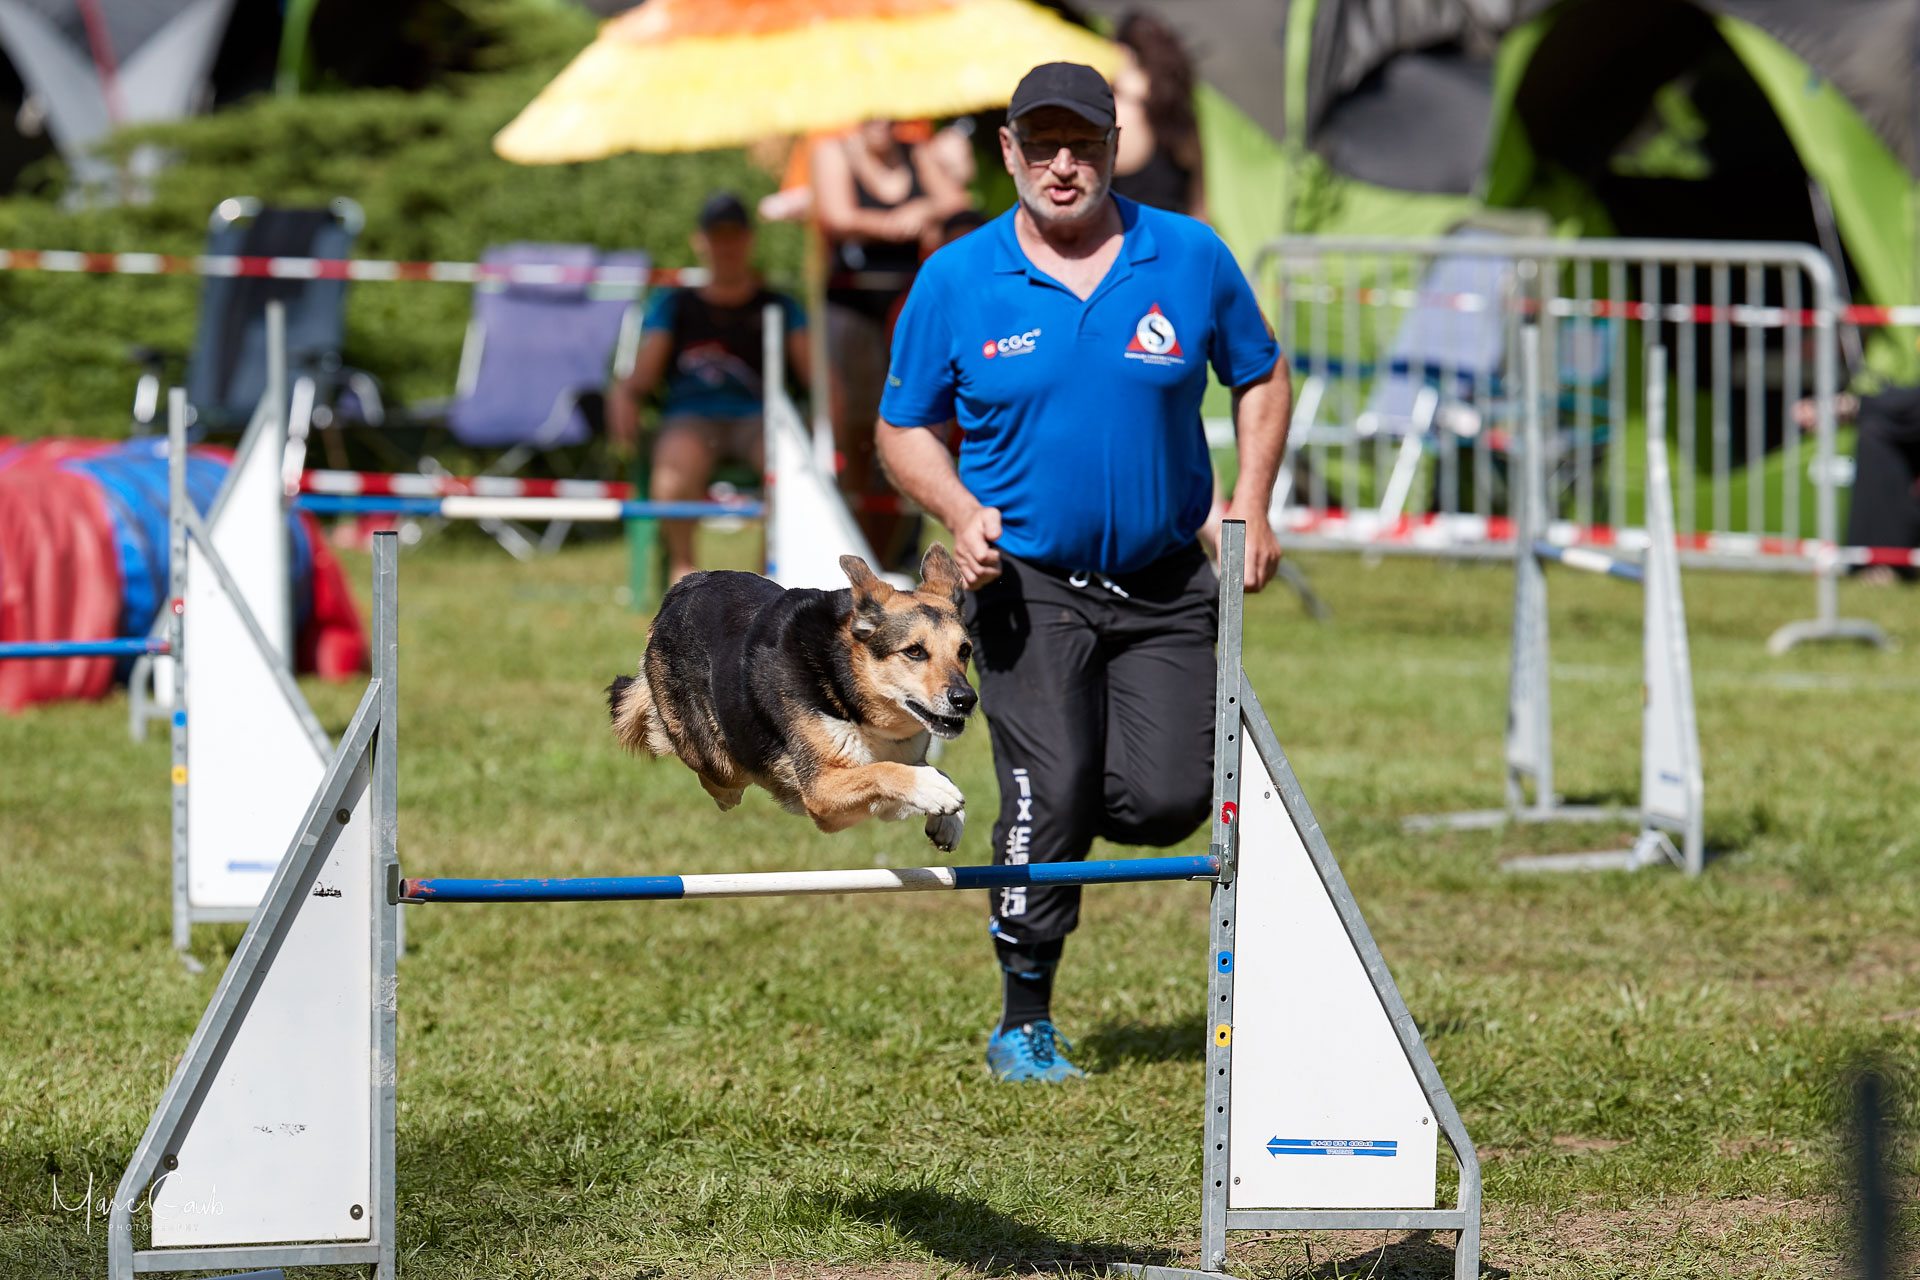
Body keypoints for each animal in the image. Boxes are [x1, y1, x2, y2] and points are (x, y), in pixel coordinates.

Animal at [607, 544, 977, 851]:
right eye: (914, 651)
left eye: (965, 651)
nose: (966, 699)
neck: (846, 685)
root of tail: (686, 586)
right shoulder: (821, 794)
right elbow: (882, 771)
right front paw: (937, 791)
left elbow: (914, 773)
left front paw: (948, 820)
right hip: (722, 761)